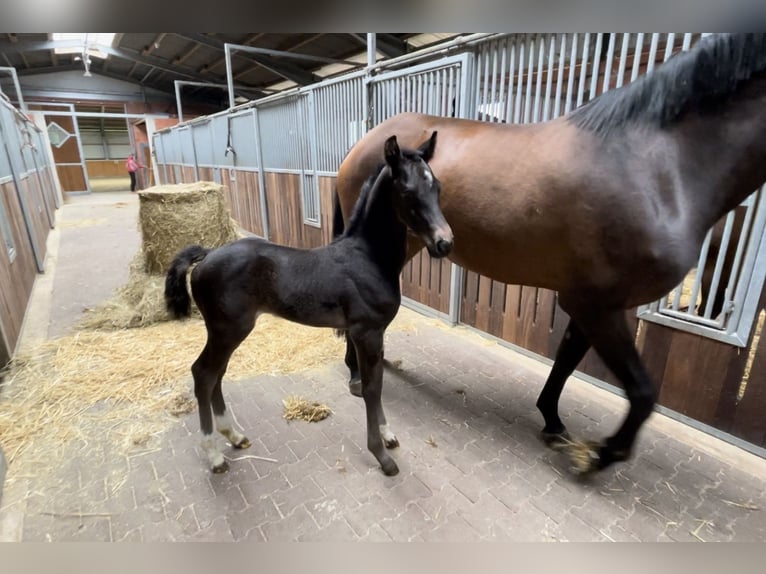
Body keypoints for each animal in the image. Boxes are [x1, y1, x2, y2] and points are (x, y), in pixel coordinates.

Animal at [162, 134, 450, 476]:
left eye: (438, 187)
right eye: (407, 191)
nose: (444, 243)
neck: (368, 258)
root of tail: (206, 255)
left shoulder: (371, 333)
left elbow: (375, 383)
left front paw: (388, 435)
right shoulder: (366, 332)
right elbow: (371, 388)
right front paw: (382, 455)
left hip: (226, 333)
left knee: (216, 373)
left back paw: (234, 435)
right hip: (226, 330)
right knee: (204, 374)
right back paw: (214, 455)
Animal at [334, 32, 766, 476]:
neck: (656, 163)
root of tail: (364, 142)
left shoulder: (590, 302)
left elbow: (567, 360)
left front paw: (554, 423)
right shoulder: (598, 305)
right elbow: (642, 392)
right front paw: (600, 454)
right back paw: (356, 375)